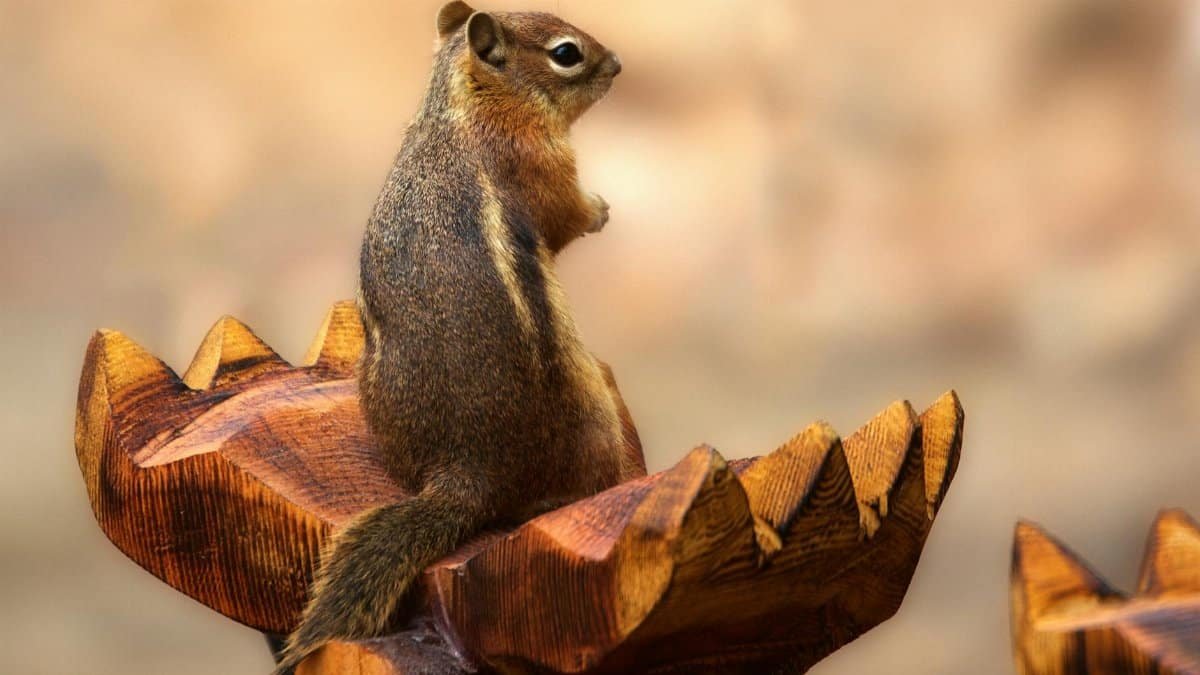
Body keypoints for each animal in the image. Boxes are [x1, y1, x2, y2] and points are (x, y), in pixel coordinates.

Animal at [273, 2, 633, 671]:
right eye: (566, 53)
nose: (619, 64)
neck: (460, 110)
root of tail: (467, 472)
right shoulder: (543, 163)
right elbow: (567, 217)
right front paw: (599, 209)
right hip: (596, 419)